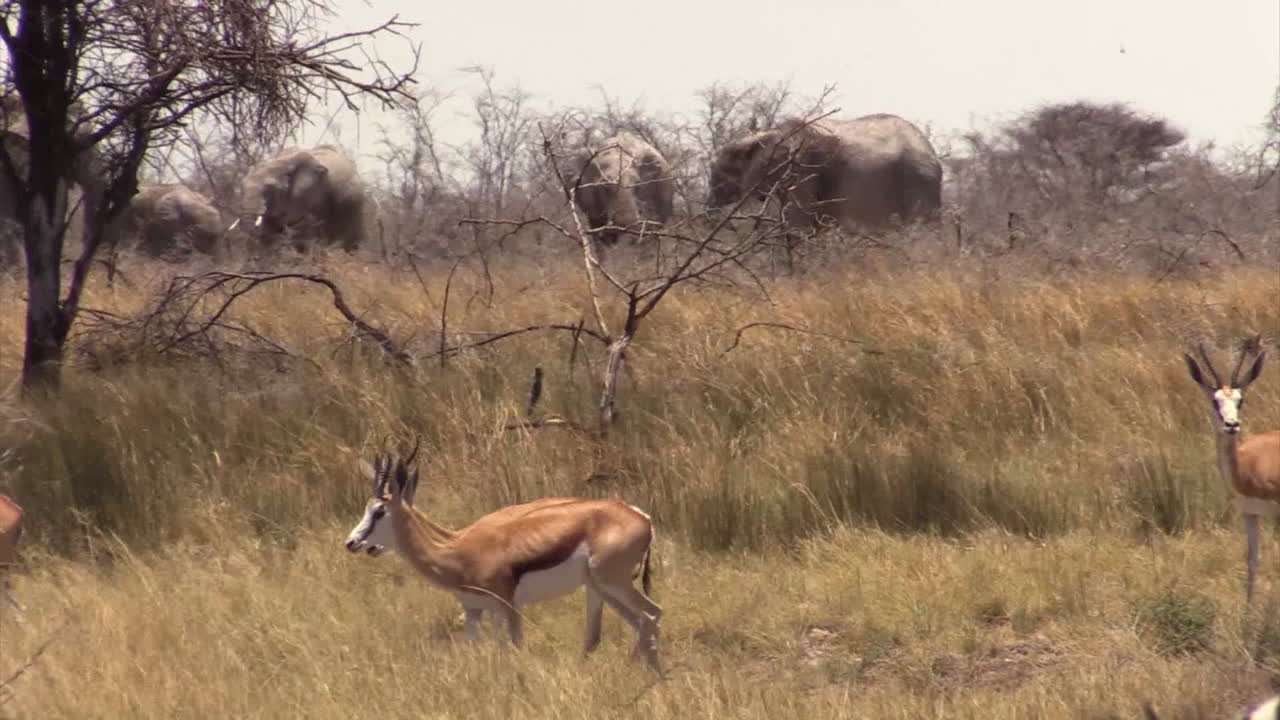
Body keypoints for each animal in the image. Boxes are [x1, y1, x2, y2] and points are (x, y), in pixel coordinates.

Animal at [707, 113, 942, 232]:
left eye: (725, 172)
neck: (769, 133)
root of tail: (932, 151)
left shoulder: (802, 168)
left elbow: (798, 222)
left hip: (917, 178)